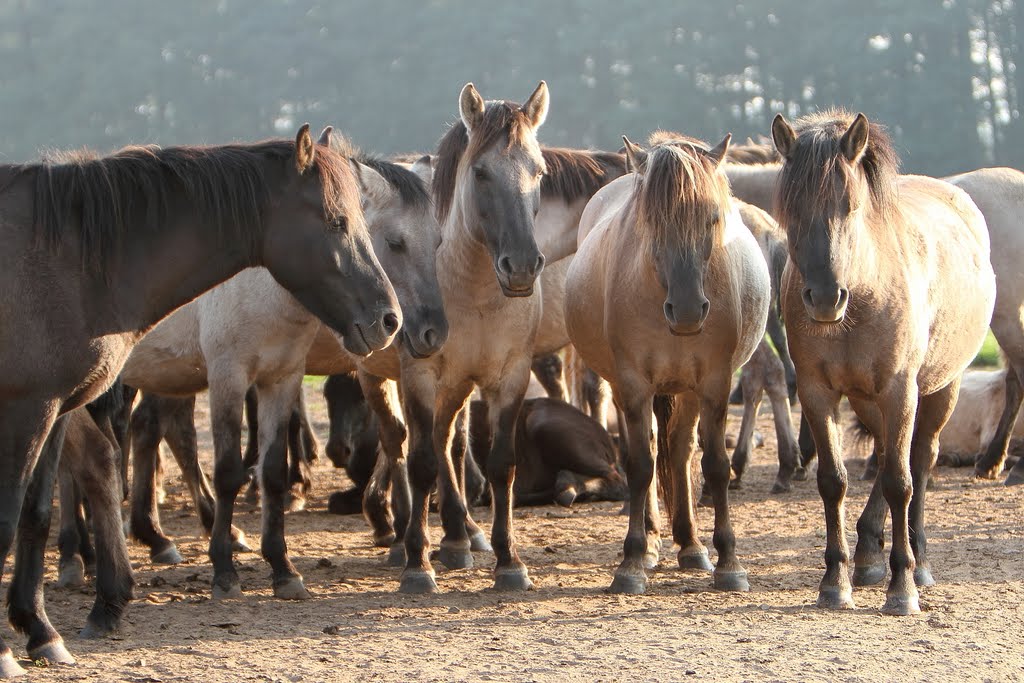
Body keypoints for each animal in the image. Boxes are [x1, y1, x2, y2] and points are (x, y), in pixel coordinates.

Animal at [0, 125, 397, 675]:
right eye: (337, 221)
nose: (389, 318)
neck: (62, 260)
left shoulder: (54, 409)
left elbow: (34, 513)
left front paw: (38, 629)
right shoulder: (28, 410)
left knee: (105, 459)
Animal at [118, 132, 440, 598]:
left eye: (437, 241)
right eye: (395, 242)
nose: (396, 321)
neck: (266, 283)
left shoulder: (283, 377)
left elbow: (273, 469)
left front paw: (284, 569)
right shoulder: (229, 376)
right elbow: (230, 469)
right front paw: (224, 572)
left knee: (153, 431)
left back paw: (155, 536)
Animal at [770, 111, 995, 614]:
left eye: (850, 207)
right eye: (791, 210)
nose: (825, 298)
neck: (864, 292)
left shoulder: (900, 389)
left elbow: (900, 481)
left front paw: (903, 587)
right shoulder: (818, 392)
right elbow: (834, 480)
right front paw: (835, 581)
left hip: (941, 388)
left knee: (920, 459)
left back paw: (918, 560)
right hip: (869, 400)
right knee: (888, 453)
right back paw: (869, 555)